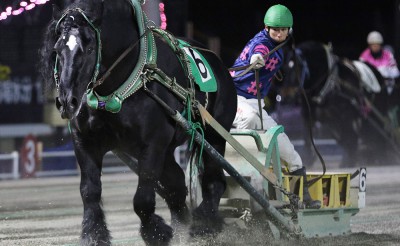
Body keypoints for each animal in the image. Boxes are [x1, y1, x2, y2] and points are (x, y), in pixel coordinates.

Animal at [39, 0, 236, 245]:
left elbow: (142, 198)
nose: (67, 101)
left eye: (91, 48)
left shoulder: (152, 144)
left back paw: (204, 225)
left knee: (213, 182)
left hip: (213, 137)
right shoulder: (85, 142)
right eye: (57, 50)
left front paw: (156, 232)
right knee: (177, 188)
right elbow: (89, 191)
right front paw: (94, 235)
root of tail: (218, 62)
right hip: (168, 152)